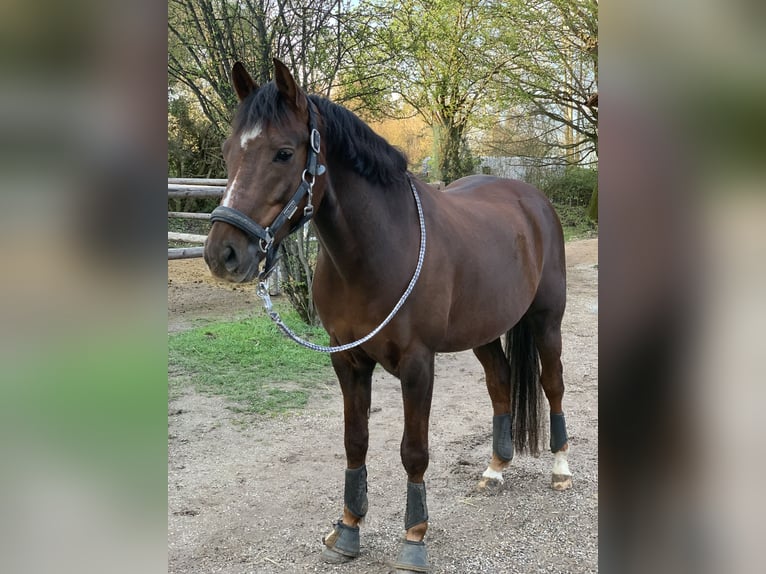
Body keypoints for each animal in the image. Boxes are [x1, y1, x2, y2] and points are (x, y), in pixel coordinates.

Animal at [204, 60, 568, 572]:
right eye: (227, 151)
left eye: (283, 153)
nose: (223, 254)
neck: (378, 249)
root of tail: (531, 198)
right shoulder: (347, 360)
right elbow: (355, 441)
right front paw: (347, 529)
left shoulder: (417, 365)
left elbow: (413, 452)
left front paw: (414, 538)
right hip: (484, 330)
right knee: (501, 382)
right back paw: (495, 470)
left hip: (546, 320)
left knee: (551, 383)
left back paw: (561, 468)